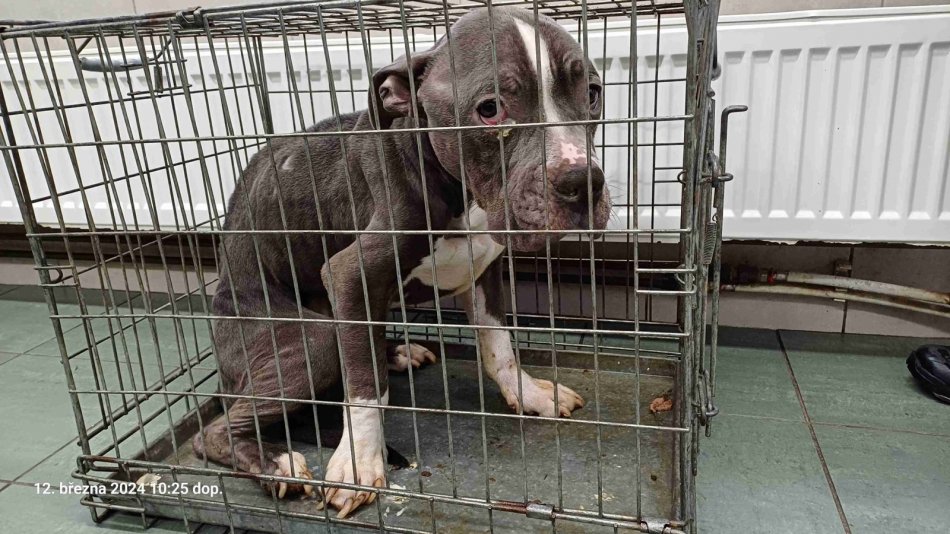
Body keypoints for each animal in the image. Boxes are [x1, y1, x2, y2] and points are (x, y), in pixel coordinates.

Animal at [193, 6, 610, 519]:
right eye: (490, 108)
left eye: (592, 93)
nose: (582, 180)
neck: (459, 193)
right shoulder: (349, 275)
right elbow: (365, 389)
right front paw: (357, 462)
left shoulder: (485, 268)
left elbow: (499, 346)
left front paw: (527, 393)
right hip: (312, 339)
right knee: (217, 429)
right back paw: (277, 464)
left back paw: (395, 351)